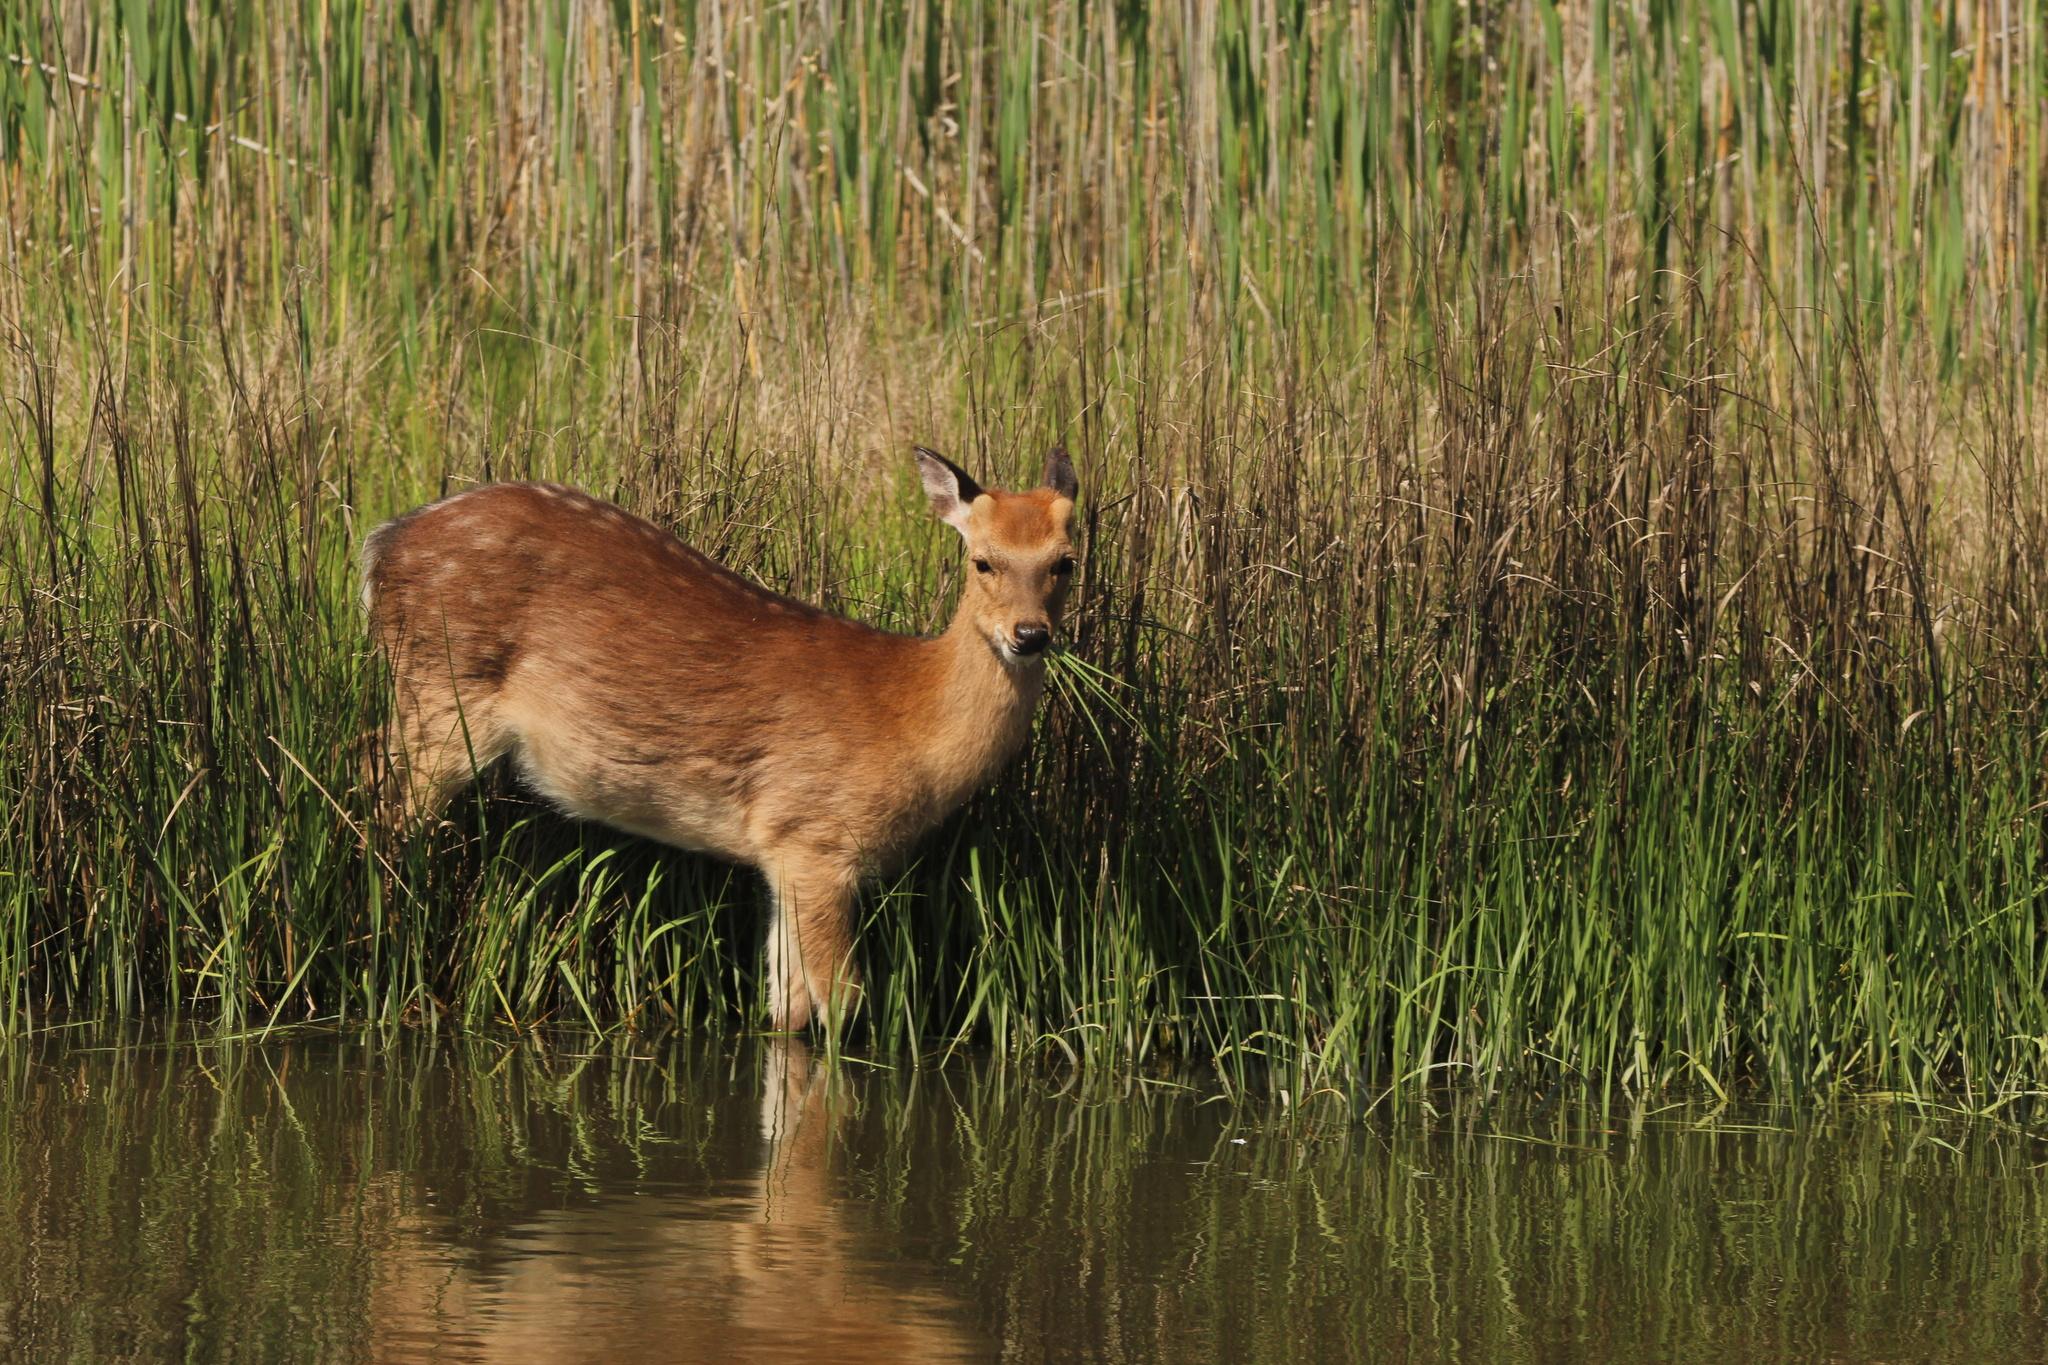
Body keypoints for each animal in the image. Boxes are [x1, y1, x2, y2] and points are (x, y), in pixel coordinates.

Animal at [361, 446, 1079, 1032]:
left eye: (1066, 562)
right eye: (982, 561)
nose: (1029, 634)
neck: (910, 720)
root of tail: (379, 546)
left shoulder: (784, 855)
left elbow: (786, 1009)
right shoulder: (816, 835)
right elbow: (841, 1005)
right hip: (440, 693)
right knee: (380, 800)